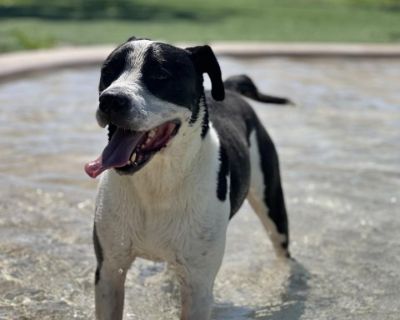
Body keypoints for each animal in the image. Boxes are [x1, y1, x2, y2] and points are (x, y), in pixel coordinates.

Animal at [84, 36, 290, 318]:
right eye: (108, 72)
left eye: (161, 75)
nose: (111, 100)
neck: (158, 181)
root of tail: (231, 90)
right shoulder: (109, 271)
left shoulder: (198, 285)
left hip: (272, 203)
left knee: (283, 250)